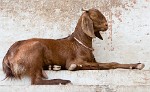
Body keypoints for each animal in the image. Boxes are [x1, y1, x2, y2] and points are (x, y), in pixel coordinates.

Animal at [2, 8, 145, 85]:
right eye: (94, 16)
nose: (106, 25)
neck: (80, 42)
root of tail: (7, 56)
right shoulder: (74, 60)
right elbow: (108, 64)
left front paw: (137, 64)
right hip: (36, 48)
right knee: (36, 81)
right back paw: (62, 80)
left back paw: (55, 67)